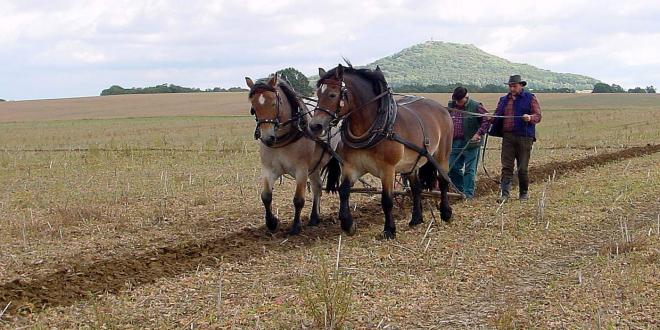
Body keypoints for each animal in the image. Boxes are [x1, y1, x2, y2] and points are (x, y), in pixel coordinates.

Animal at [244, 75, 340, 235]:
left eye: (274, 103)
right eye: (254, 107)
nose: (267, 138)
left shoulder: (301, 170)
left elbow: (298, 200)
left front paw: (295, 226)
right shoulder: (268, 169)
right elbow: (266, 196)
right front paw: (271, 223)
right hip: (314, 166)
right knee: (317, 186)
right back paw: (314, 217)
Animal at [308, 65, 454, 240]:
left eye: (332, 94)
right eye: (317, 94)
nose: (315, 126)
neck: (372, 127)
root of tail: (441, 108)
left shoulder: (388, 169)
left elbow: (387, 200)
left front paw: (389, 229)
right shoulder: (352, 167)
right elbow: (343, 191)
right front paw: (348, 224)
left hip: (442, 155)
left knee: (444, 181)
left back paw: (446, 213)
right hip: (411, 163)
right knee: (416, 188)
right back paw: (416, 219)